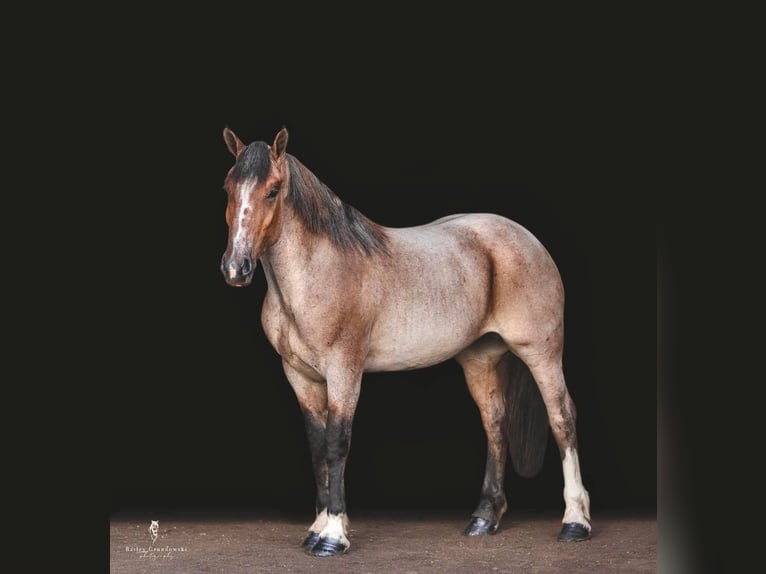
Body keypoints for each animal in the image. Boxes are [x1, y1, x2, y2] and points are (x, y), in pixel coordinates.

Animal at [219, 126, 592, 560]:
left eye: (273, 191)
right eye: (228, 186)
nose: (235, 268)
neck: (317, 274)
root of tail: (525, 238)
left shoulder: (344, 372)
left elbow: (336, 444)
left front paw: (332, 536)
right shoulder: (299, 376)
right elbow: (317, 448)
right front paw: (316, 528)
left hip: (541, 352)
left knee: (562, 417)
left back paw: (575, 522)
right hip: (480, 359)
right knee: (495, 423)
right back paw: (484, 518)